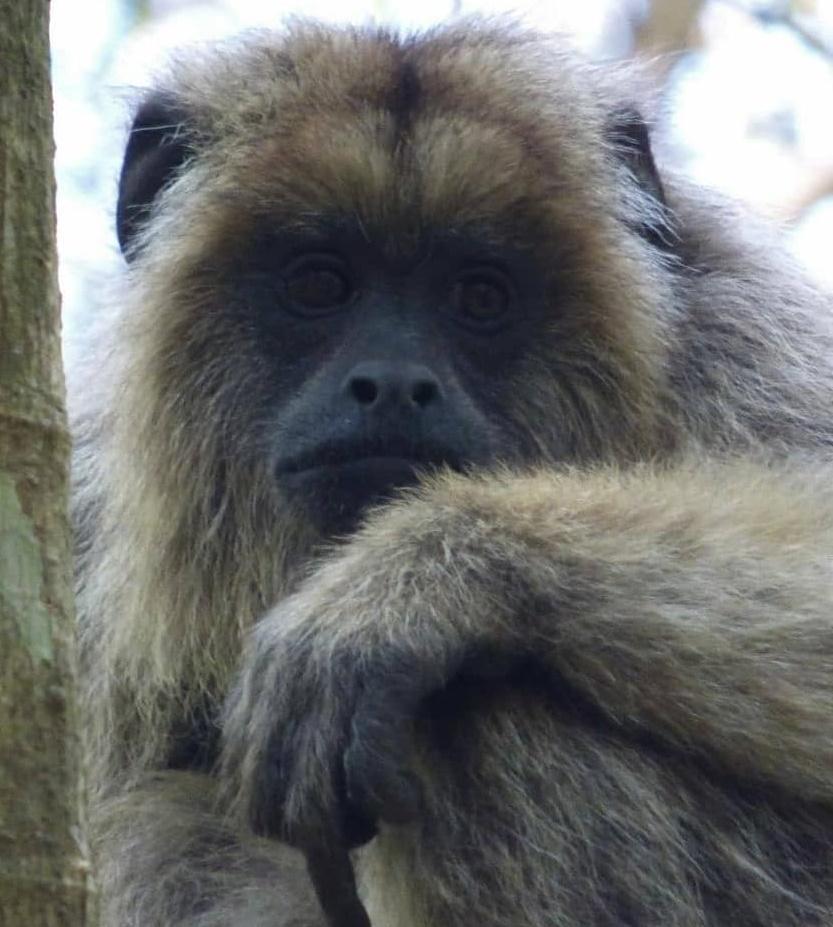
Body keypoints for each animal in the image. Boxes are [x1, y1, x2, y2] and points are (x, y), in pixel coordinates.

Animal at [68, 12, 833, 927]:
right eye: (318, 283)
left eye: (480, 295)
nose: (395, 385)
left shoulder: (740, 329)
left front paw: (410, 583)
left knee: (469, 730)